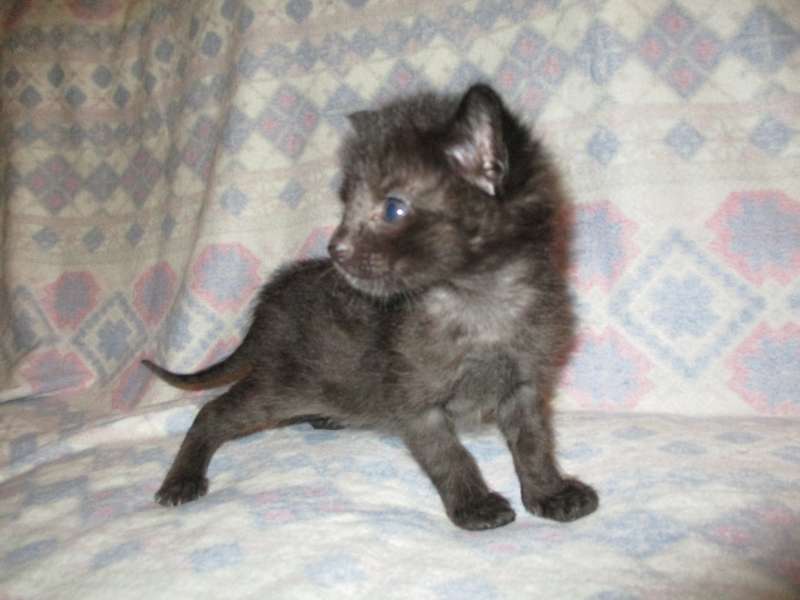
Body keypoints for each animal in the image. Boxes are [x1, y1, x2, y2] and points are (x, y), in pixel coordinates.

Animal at [143, 83, 598, 530]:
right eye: (347, 206)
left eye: (393, 208)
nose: (336, 247)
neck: (479, 304)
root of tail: (273, 293)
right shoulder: (416, 402)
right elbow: (450, 456)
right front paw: (475, 506)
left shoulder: (525, 386)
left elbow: (534, 445)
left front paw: (551, 494)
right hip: (282, 384)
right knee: (211, 411)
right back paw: (181, 480)